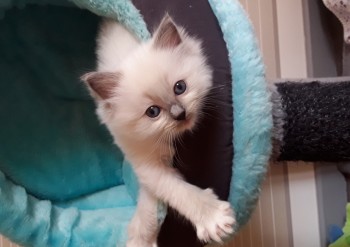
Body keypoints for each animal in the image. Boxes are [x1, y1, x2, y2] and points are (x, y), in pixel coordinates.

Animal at [81, 14, 235, 246]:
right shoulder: (146, 162)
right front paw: (140, 239)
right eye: (153, 112)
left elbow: (155, 203)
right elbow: (173, 191)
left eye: (180, 87)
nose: (179, 113)